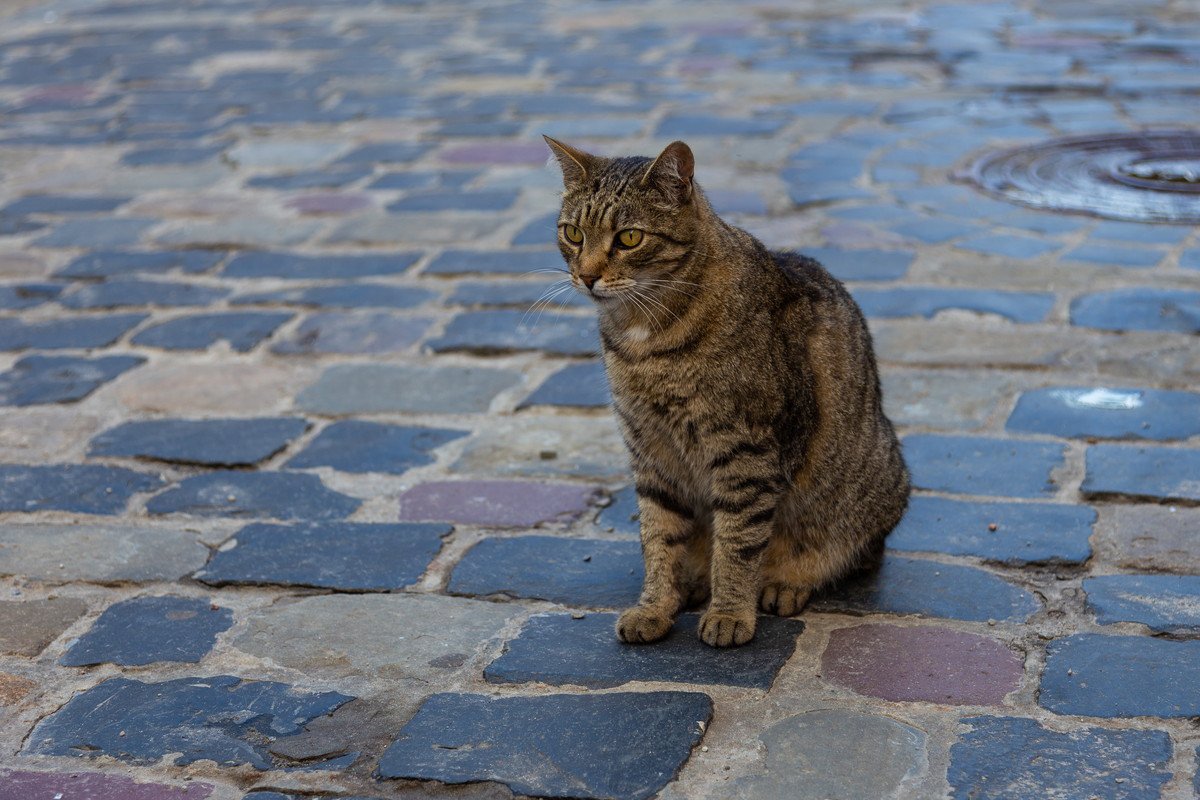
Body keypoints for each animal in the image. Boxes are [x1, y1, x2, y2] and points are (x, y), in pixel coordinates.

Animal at [547, 136, 907, 652]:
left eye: (630, 238)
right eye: (573, 233)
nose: (588, 275)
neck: (644, 338)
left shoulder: (746, 453)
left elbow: (737, 541)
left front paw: (730, 612)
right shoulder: (650, 451)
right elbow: (659, 538)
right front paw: (656, 605)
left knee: (848, 553)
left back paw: (784, 583)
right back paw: (693, 584)